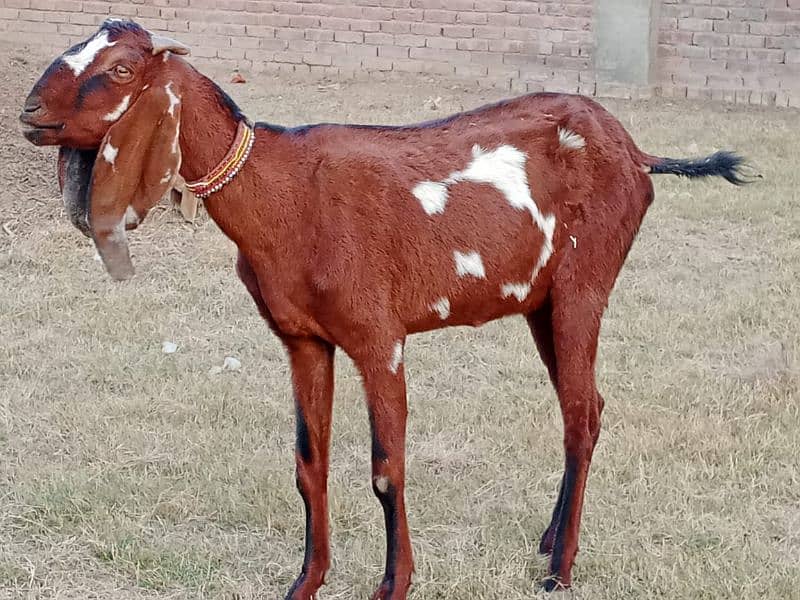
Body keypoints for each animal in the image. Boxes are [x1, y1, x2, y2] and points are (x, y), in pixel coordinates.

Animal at [20, 19, 752, 600]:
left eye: (120, 70)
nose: (29, 110)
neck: (285, 194)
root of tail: (637, 153)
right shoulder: (302, 339)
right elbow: (307, 465)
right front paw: (305, 583)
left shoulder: (379, 337)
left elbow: (385, 468)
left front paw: (393, 585)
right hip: (541, 303)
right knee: (589, 408)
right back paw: (549, 541)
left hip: (584, 286)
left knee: (580, 418)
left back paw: (560, 570)